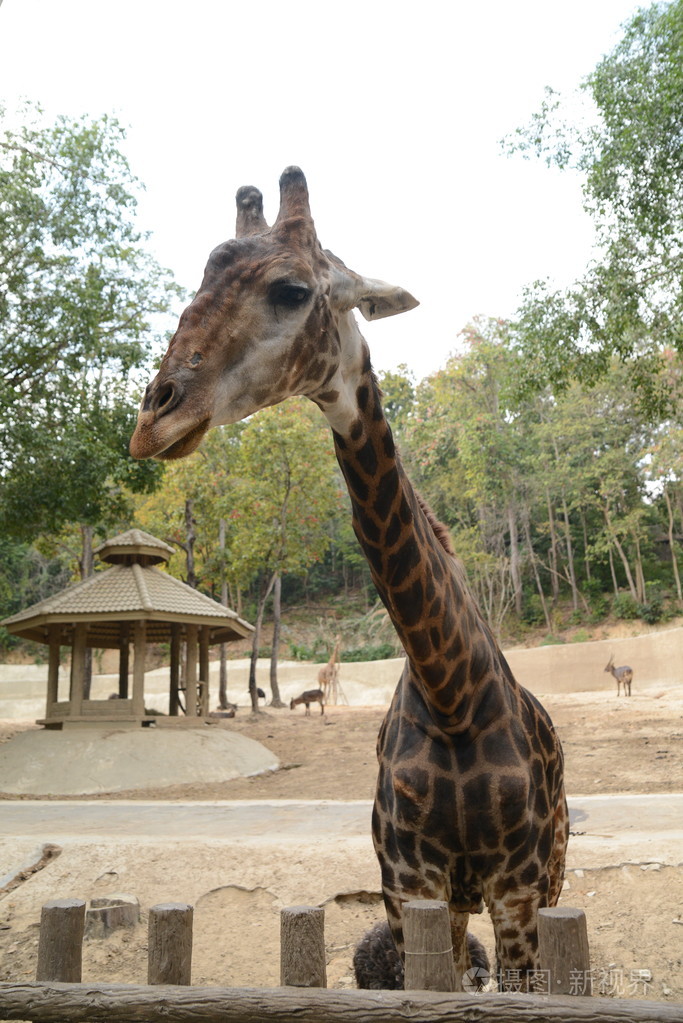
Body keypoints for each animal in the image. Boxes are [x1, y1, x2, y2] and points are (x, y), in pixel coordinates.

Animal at [130, 167, 568, 990]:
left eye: (291, 290)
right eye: (200, 277)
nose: (153, 419)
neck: (451, 693)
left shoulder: (519, 888)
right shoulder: (410, 885)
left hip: (549, 877)